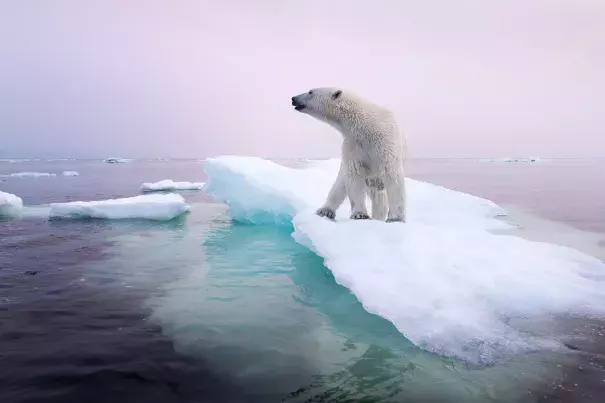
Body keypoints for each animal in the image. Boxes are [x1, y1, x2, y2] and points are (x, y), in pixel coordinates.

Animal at [292, 86, 408, 223]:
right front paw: (360, 215)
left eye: (311, 92)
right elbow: (354, 175)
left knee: (379, 195)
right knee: (340, 185)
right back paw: (325, 211)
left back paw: (378, 217)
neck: (366, 127)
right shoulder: (353, 146)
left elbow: (391, 174)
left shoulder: (385, 143)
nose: (293, 98)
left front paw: (395, 218)